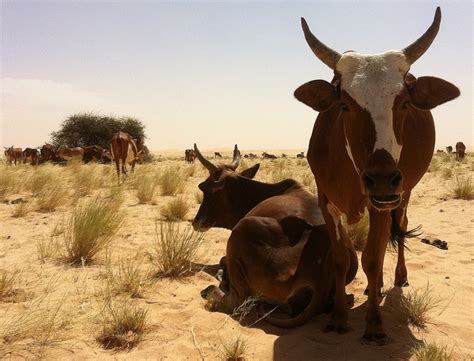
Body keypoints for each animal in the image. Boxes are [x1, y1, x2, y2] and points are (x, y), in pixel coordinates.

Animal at [192, 143, 356, 326]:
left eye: (206, 190)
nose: (196, 221)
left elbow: (222, 261)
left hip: (241, 230)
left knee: (235, 300)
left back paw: (214, 286)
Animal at [294, 7, 462, 342]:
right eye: (344, 104)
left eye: (404, 102)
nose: (382, 178)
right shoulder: (325, 201)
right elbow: (341, 257)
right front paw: (338, 317)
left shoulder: (384, 201)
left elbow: (372, 258)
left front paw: (373, 323)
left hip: (403, 192)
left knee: (397, 232)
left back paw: (395, 278)